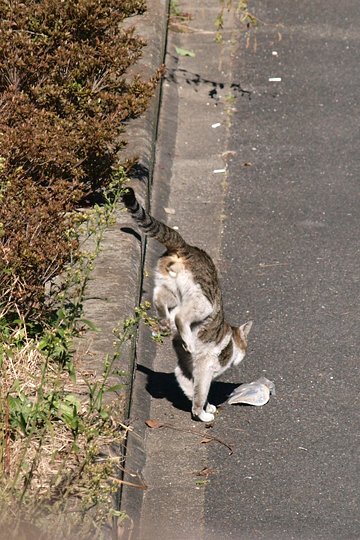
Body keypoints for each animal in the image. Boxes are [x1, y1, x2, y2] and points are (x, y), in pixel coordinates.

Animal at [122, 189, 252, 422]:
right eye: (244, 346)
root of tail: (186, 247)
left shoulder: (185, 366)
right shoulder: (204, 367)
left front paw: (204, 406)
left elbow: (188, 385)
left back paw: (164, 323)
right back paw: (184, 336)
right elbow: (201, 391)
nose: (243, 356)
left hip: (169, 287)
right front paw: (202, 413)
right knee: (181, 316)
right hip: (202, 301)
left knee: (159, 299)